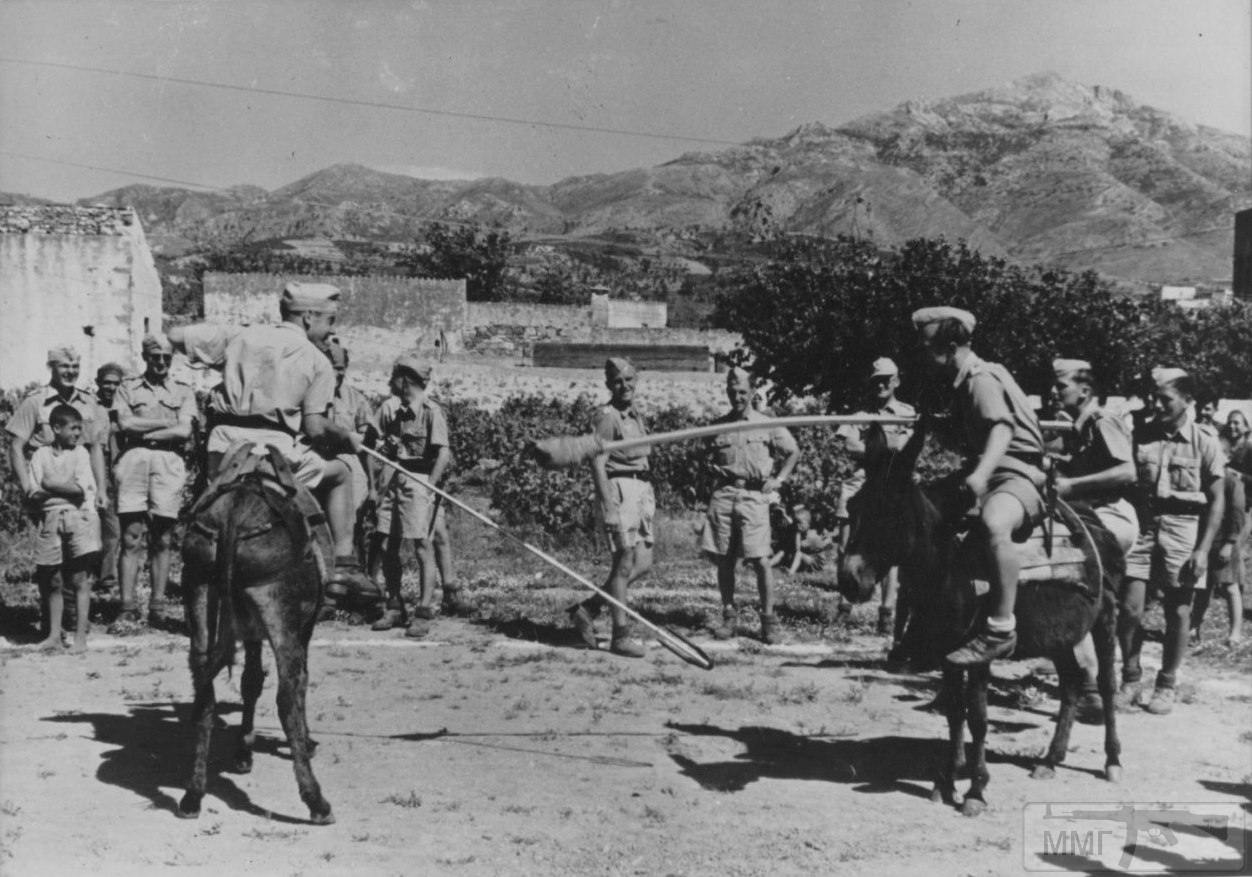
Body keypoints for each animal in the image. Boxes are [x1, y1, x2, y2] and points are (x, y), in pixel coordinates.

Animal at [177, 445, 334, 825]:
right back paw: (316, 801)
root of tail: (235, 512)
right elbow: (298, 683)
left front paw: (243, 751)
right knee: (287, 697)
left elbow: (249, 681)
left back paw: (193, 794)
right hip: (280, 612)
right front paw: (305, 742)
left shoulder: (247, 628)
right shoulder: (301, 629)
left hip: (199, 594)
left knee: (205, 692)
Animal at [837, 425, 1123, 816]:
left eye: (890, 511)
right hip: (1060, 634)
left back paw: (1112, 760)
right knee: (1072, 681)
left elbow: (979, 717)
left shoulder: (978, 654)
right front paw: (947, 780)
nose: (850, 580)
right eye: (853, 506)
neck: (948, 564)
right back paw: (1050, 760)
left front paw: (975, 789)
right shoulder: (949, 651)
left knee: (1107, 685)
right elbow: (954, 712)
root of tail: (1097, 526)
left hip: (1105, 621)